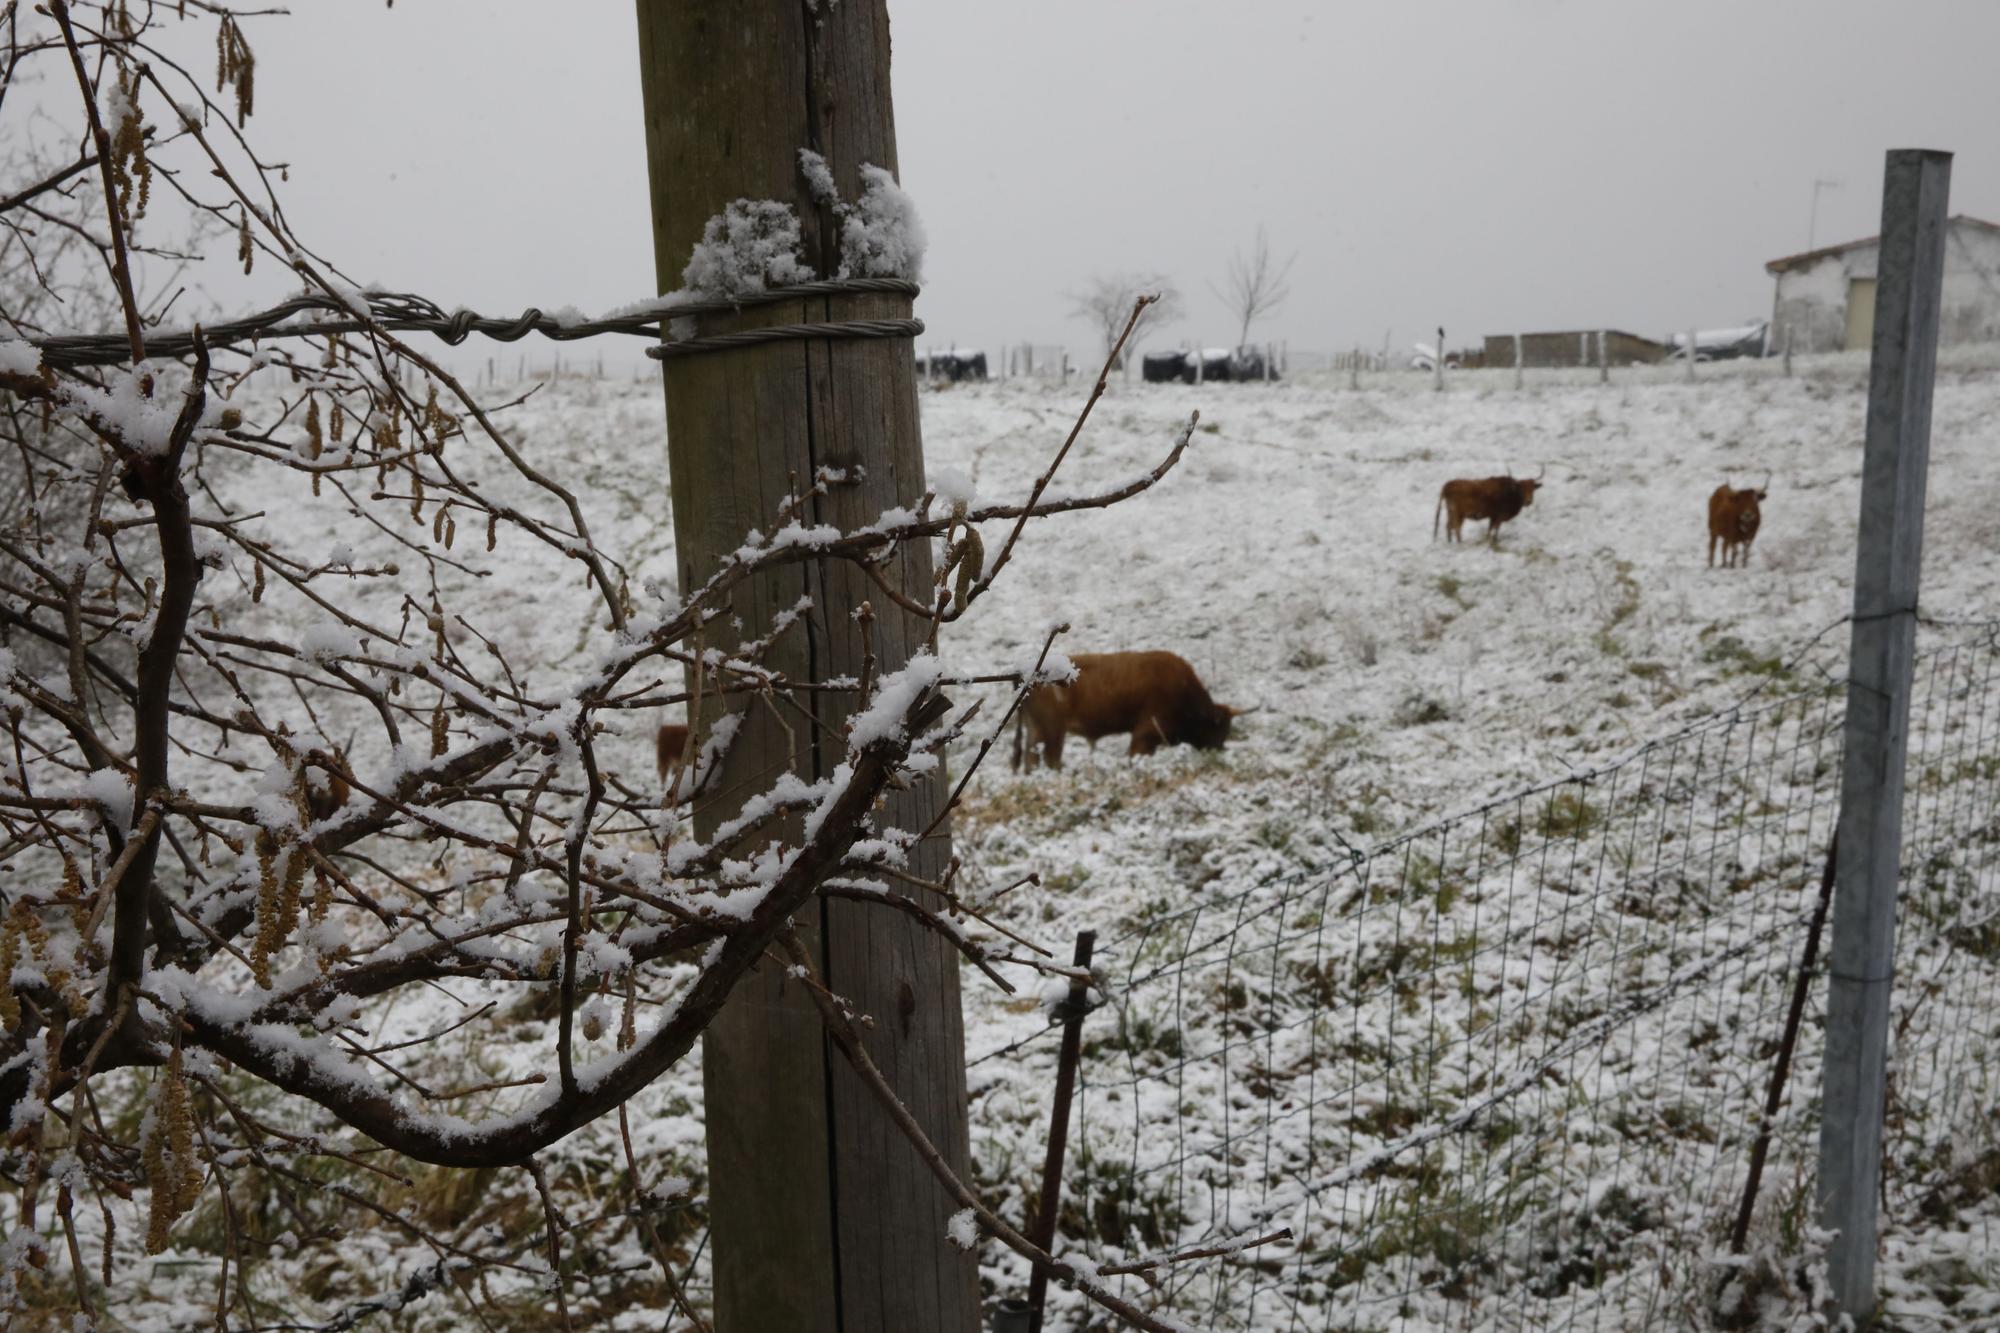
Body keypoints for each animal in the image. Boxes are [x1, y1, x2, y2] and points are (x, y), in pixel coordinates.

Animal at [1008, 644, 1240, 768]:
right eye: (1219, 727)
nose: (1219, 750)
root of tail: (1026, 675)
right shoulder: (1146, 733)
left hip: (1036, 730)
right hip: (1052, 731)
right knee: (1049, 758)